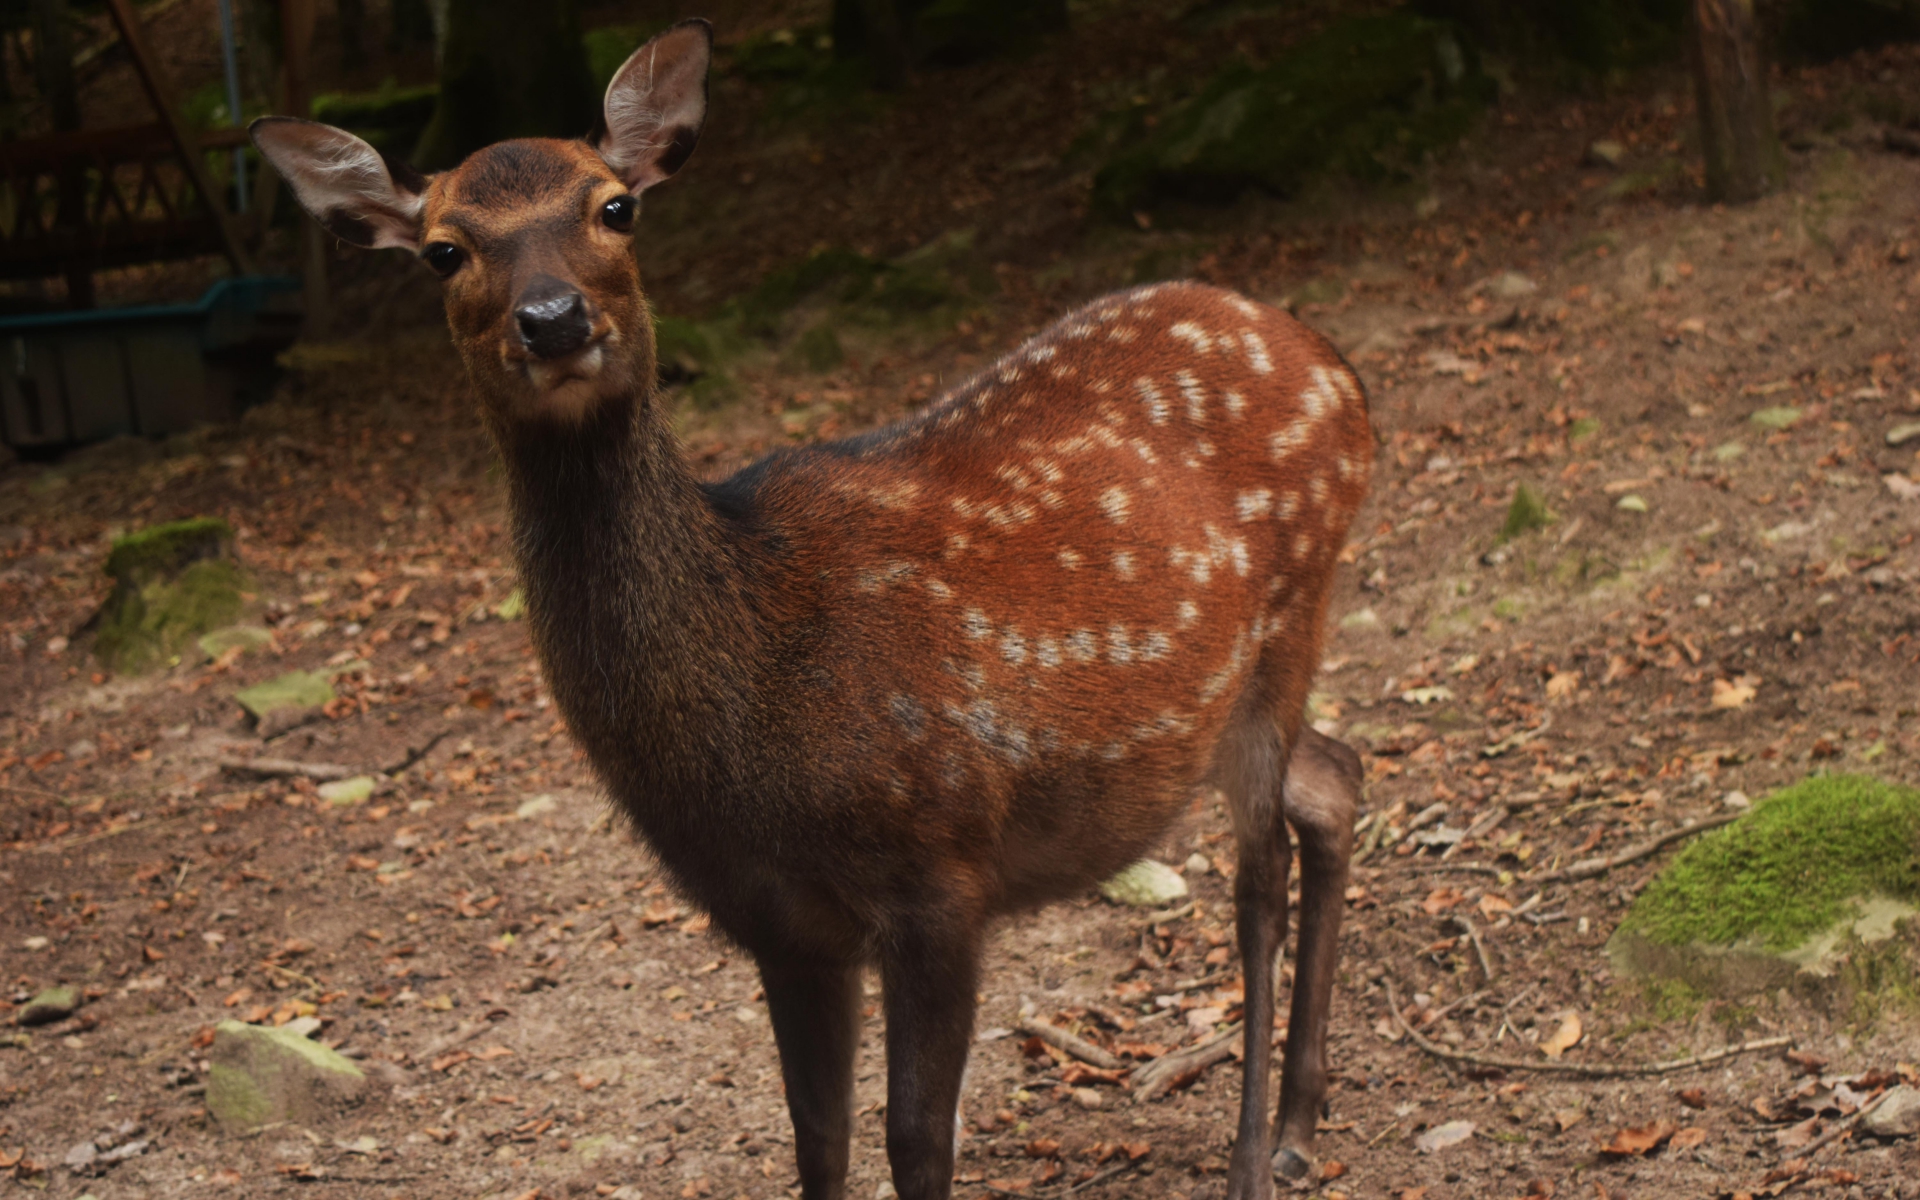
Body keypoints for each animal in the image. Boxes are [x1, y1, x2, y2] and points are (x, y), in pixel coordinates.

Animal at [255, 21, 1374, 1198]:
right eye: (442, 248)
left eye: (617, 205)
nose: (553, 320)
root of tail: (1341, 374)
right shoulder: (774, 920)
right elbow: (815, 1131)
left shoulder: (942, 869)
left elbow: (916, 1139)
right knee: (1334, 776)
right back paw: (1300, 1121)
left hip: (1290, 612)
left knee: (1260, 875)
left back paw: (1255, 1156)